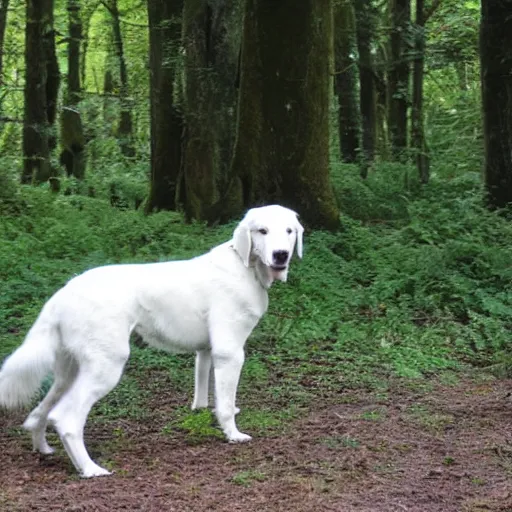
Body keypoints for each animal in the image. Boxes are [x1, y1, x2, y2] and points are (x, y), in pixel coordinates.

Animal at [0, 206, 302, 478]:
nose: (281, 255)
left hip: (69, 371)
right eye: (262, 231)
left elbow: (205, 398)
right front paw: (232, 434)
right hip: (105, 368)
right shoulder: (230, 353)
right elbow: (226, 405)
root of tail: (64, 292)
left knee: (39, 413)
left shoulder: (206, 351)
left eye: (289, 231)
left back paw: (43, 449)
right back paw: (89, 469)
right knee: (65, 418)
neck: (244, 265)